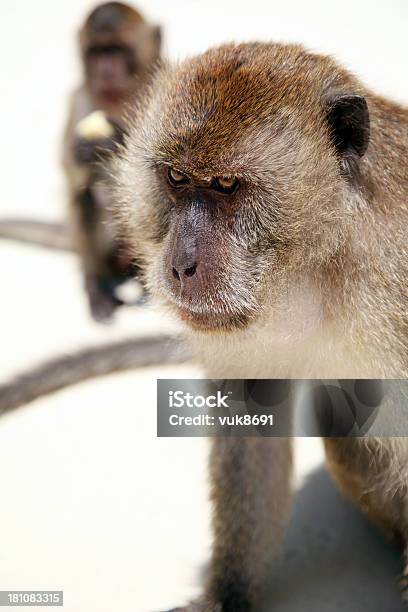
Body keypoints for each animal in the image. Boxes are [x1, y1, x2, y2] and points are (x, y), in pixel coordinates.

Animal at [62, 1, 161, 320]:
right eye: (97, 53)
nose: (105, 69)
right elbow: (71, 175)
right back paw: (97, 288)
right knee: (84, 199)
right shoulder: (77, 100)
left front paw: (116, 138)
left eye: (117, 50)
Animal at [113, 40, 408, 608]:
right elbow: (253, 424)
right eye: (176, 179)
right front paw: (227, 593)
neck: (322, 261)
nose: (181, 264)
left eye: (226, 185)